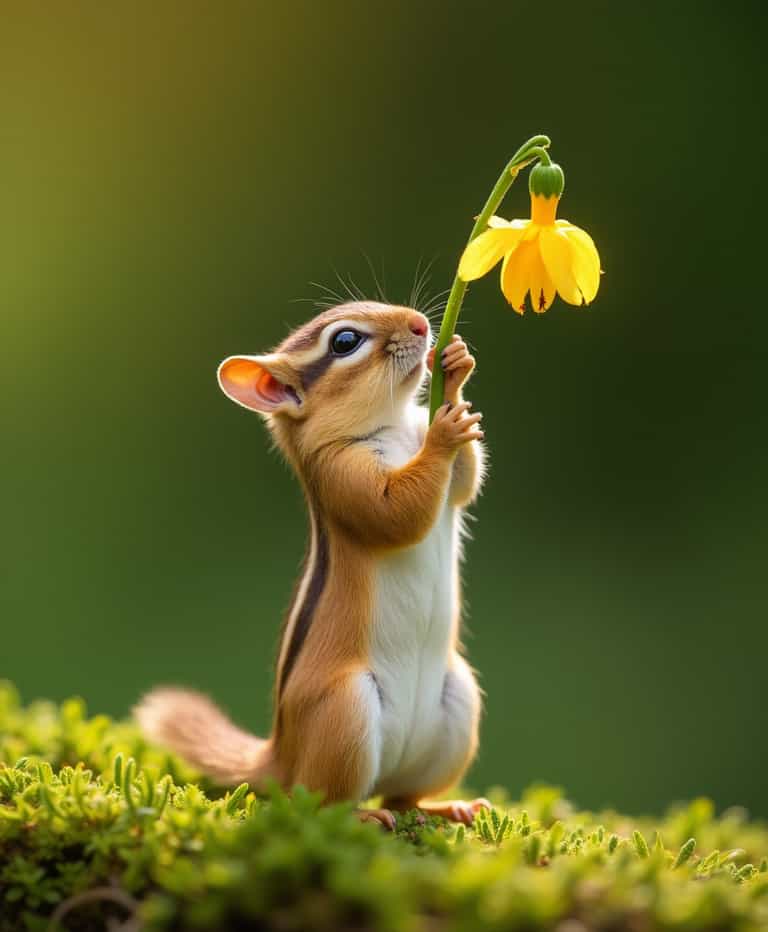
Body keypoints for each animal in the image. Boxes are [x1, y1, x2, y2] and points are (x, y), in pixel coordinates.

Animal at [136, 301, 489, 828]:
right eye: (344, 342)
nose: (421, 324)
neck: (392, 428)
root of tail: (280, 756)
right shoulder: (341, 474)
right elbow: (398, 514)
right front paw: (443, 434)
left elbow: (463, 483)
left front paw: (456, 365)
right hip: (345, 710)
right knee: (323, 802)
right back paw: (360, 818)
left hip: (458, 701)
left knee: (401, 797)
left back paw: (450, 806)